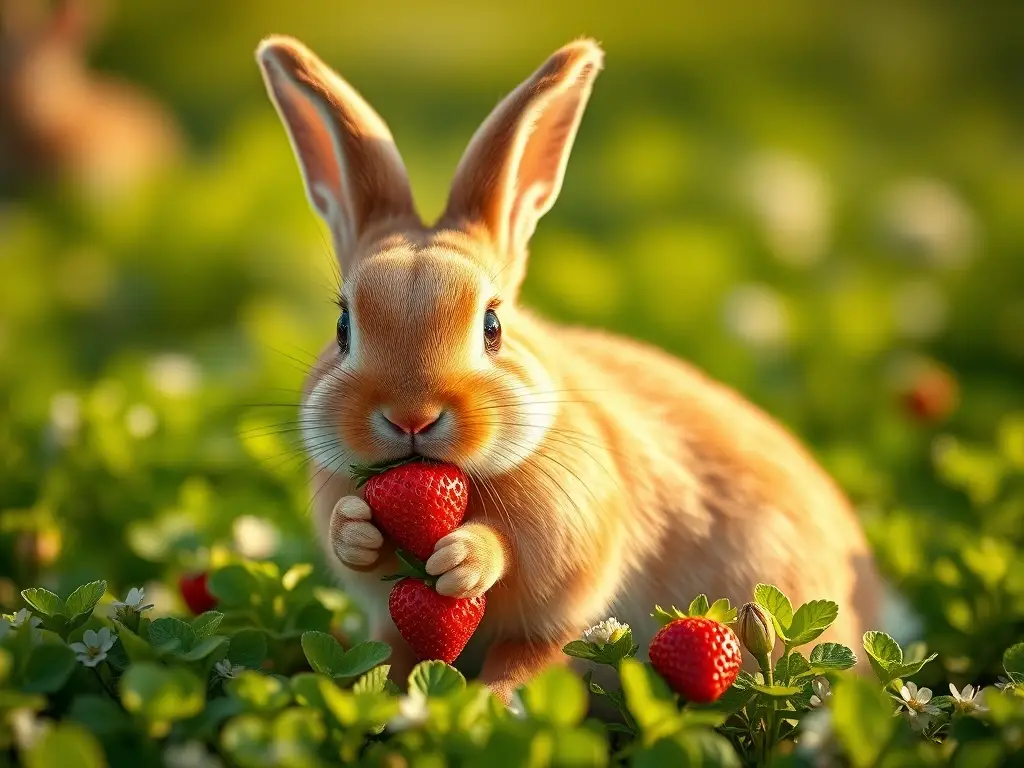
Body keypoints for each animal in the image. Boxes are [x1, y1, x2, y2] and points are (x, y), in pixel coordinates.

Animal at [256, 35, 882, 702]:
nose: (411, 417)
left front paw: (463, 558)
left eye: (493, 326)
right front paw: (356, 531)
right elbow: (360, 554)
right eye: (343, 328)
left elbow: (512, 558)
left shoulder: (567, 543)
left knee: (538, 658)